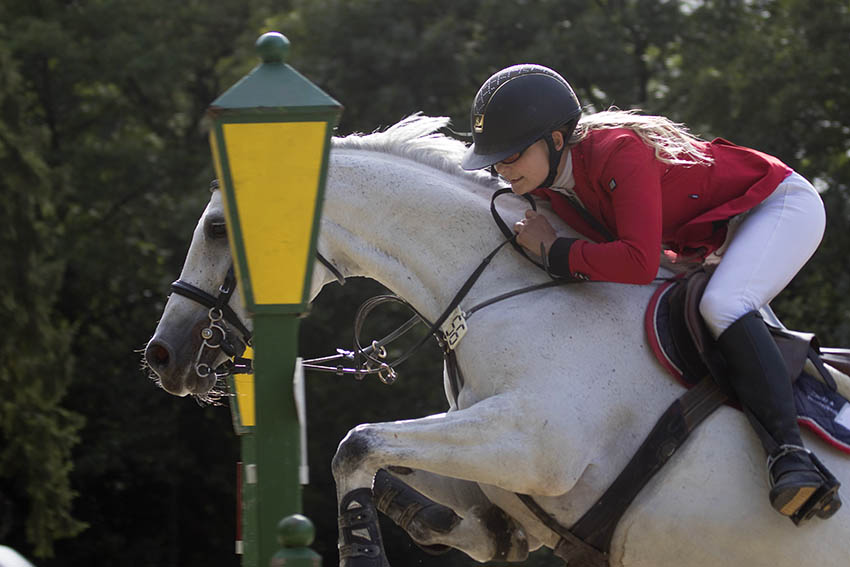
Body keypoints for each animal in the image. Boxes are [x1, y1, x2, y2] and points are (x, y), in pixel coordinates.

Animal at [142, 116, 844, 567]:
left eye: (216, 229)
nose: (163, 356)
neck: (509, 292)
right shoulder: (495, 467)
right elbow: (405, 476)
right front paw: (436, 522)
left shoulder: (537, 445)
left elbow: (357, 444)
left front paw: (362, 548)